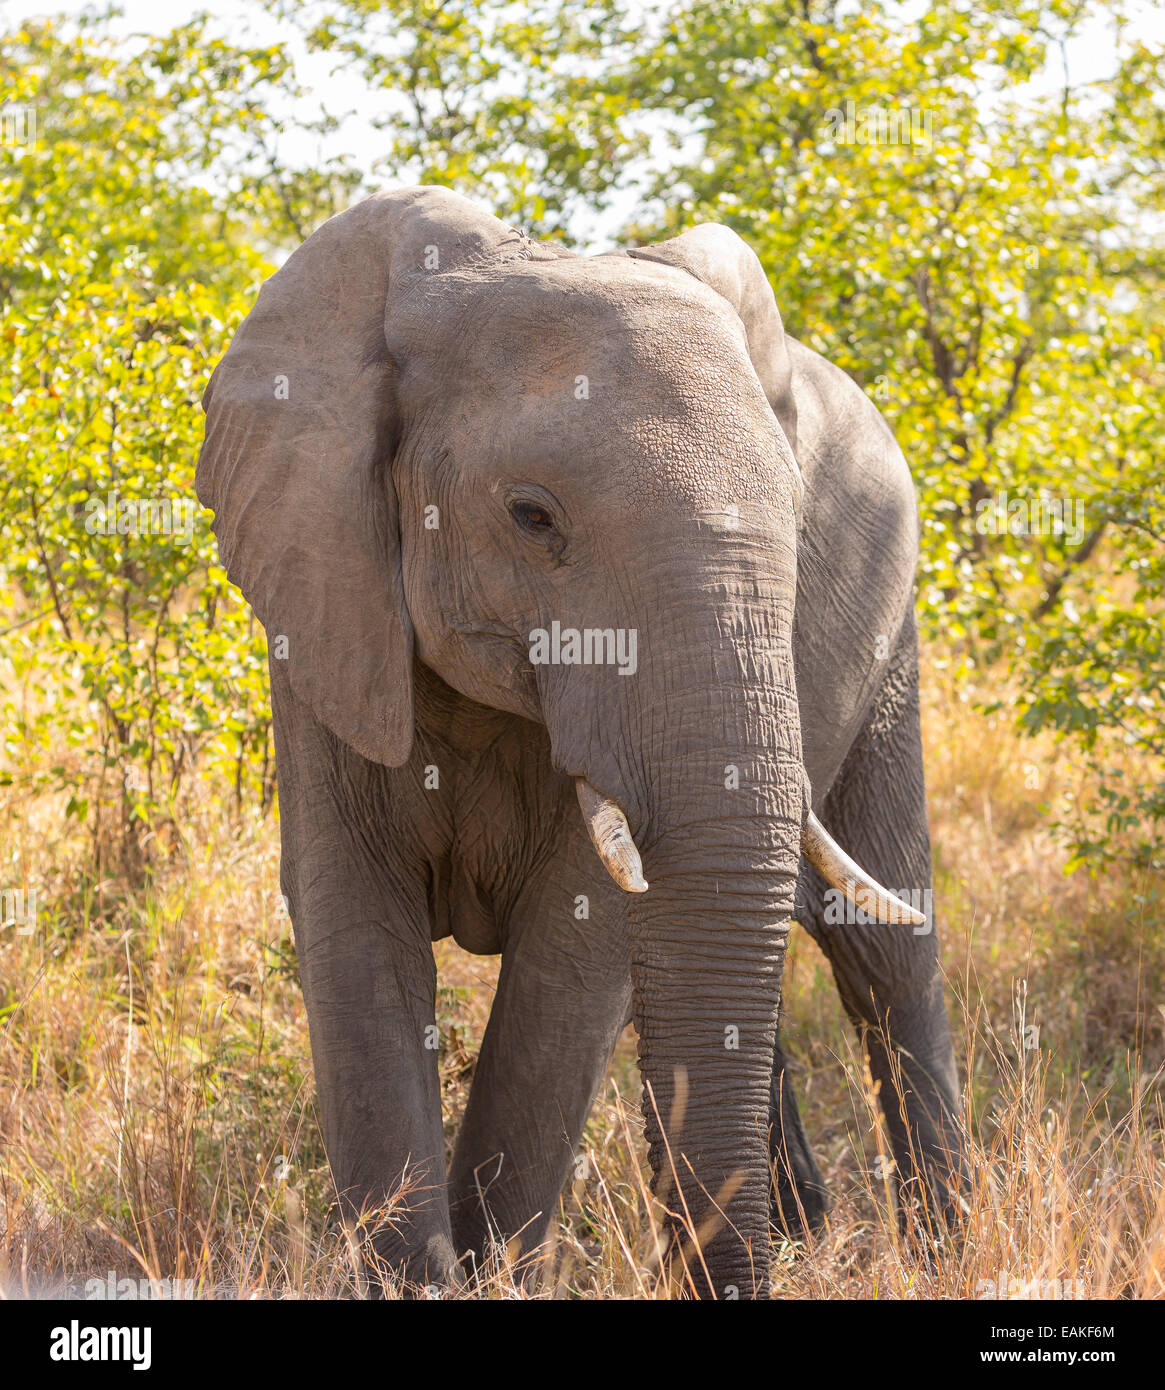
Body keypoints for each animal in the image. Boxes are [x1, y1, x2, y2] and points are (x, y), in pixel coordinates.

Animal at [198, 179, 967, 1295]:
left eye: (796, 528)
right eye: (532, 517)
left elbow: (572, 956)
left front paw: (486, 1273)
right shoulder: (324, 600)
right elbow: (356, 927)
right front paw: (425, 1278)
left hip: (889, 636)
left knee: (875, 944)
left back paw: (944, 1250)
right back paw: (811, 1230)